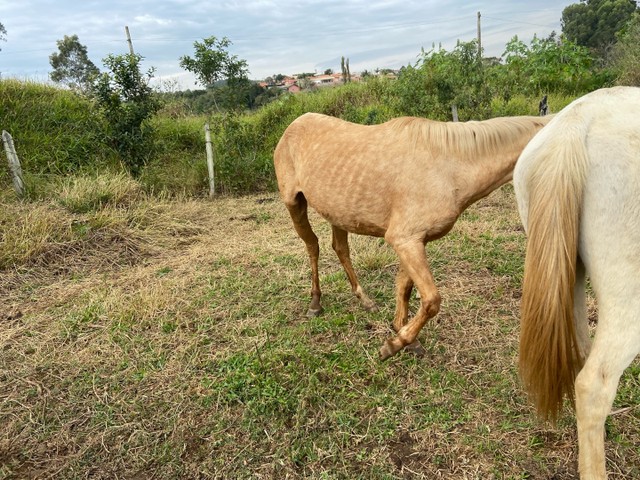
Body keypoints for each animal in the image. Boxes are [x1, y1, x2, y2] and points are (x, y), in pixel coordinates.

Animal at [274, 113, 552, 360]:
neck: (448, 168)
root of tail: (293, 125)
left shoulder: (416, 242)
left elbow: (404, 288)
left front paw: (403, 333)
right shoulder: (405, 240)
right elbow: (431, 300)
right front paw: (394, 344)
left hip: (338, 213)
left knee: (340, 249)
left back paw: (365, 300)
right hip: (294, 204)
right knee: (313, 246)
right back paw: (315, 303)